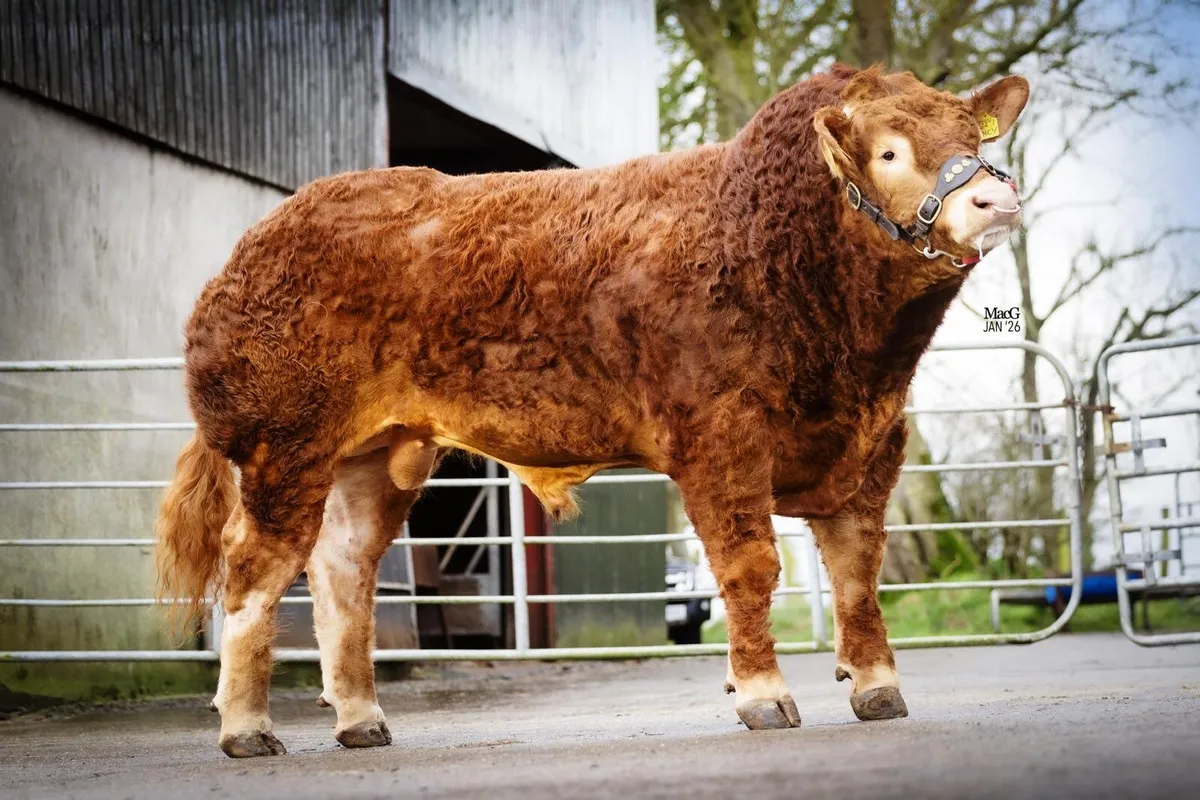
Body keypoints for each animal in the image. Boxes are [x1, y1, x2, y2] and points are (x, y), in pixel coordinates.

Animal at [156, 64, 1029, 758]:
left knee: (344, 570)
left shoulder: (874, 441)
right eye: (889, 152)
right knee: (253, 570)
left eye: (973, 135)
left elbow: (857, 572)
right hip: (285, 444)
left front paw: (877, 687)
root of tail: (255, 245)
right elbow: (749, 566)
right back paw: (246, 729)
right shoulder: (719, 436)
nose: (997, 194)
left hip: (376, 454)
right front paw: (763, 695)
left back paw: (361, 719)